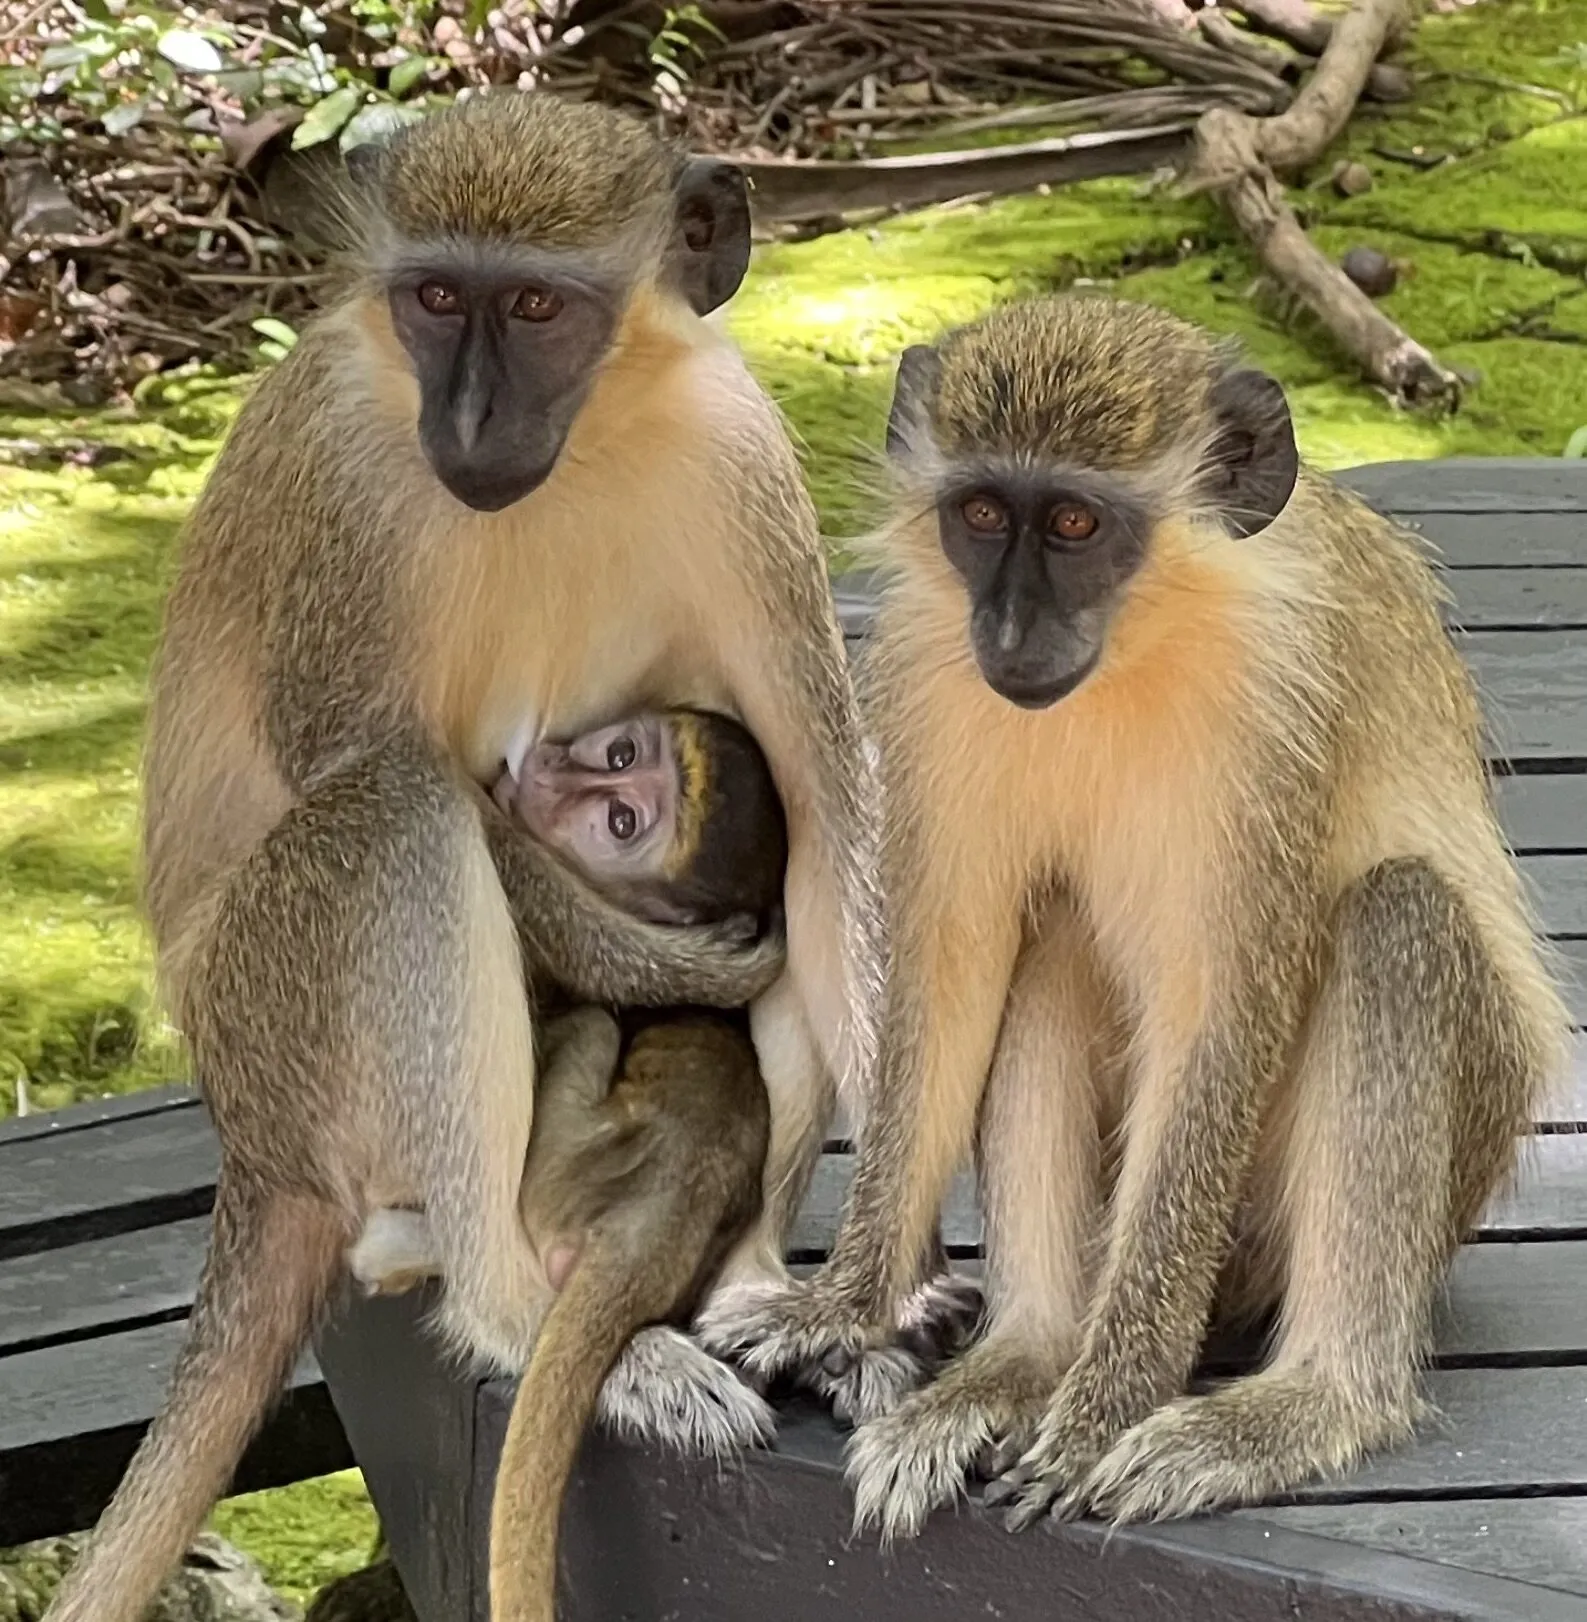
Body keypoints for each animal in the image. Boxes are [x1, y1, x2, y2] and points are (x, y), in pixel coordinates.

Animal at [702, 292, 1568, 1540]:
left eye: (1073, 522)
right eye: (980, 514)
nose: (1010, 631)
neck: (1143, 641)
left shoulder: (1276, 712)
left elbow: (1219, 1019)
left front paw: (1109, 1398)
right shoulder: (926, 670)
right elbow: (951, 969)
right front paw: (849, 1302)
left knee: (1399, 915)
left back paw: (1307, 1399)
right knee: (1051, 931)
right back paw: (1023, 1355)